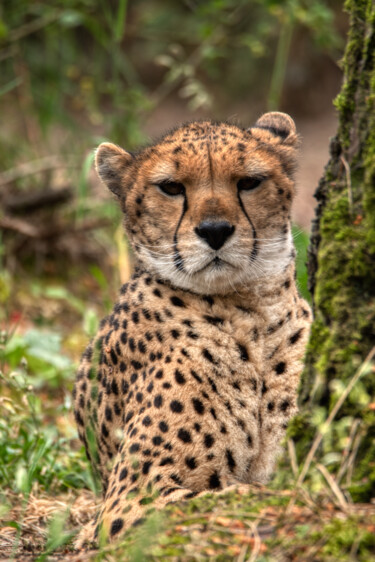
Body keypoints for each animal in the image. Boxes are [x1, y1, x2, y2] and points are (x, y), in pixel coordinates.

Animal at [75, 111, 312, 544]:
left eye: (248, 182)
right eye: (171, 187)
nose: (215, 230)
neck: (250, 311)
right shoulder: (129, 500)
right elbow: (232, 495)